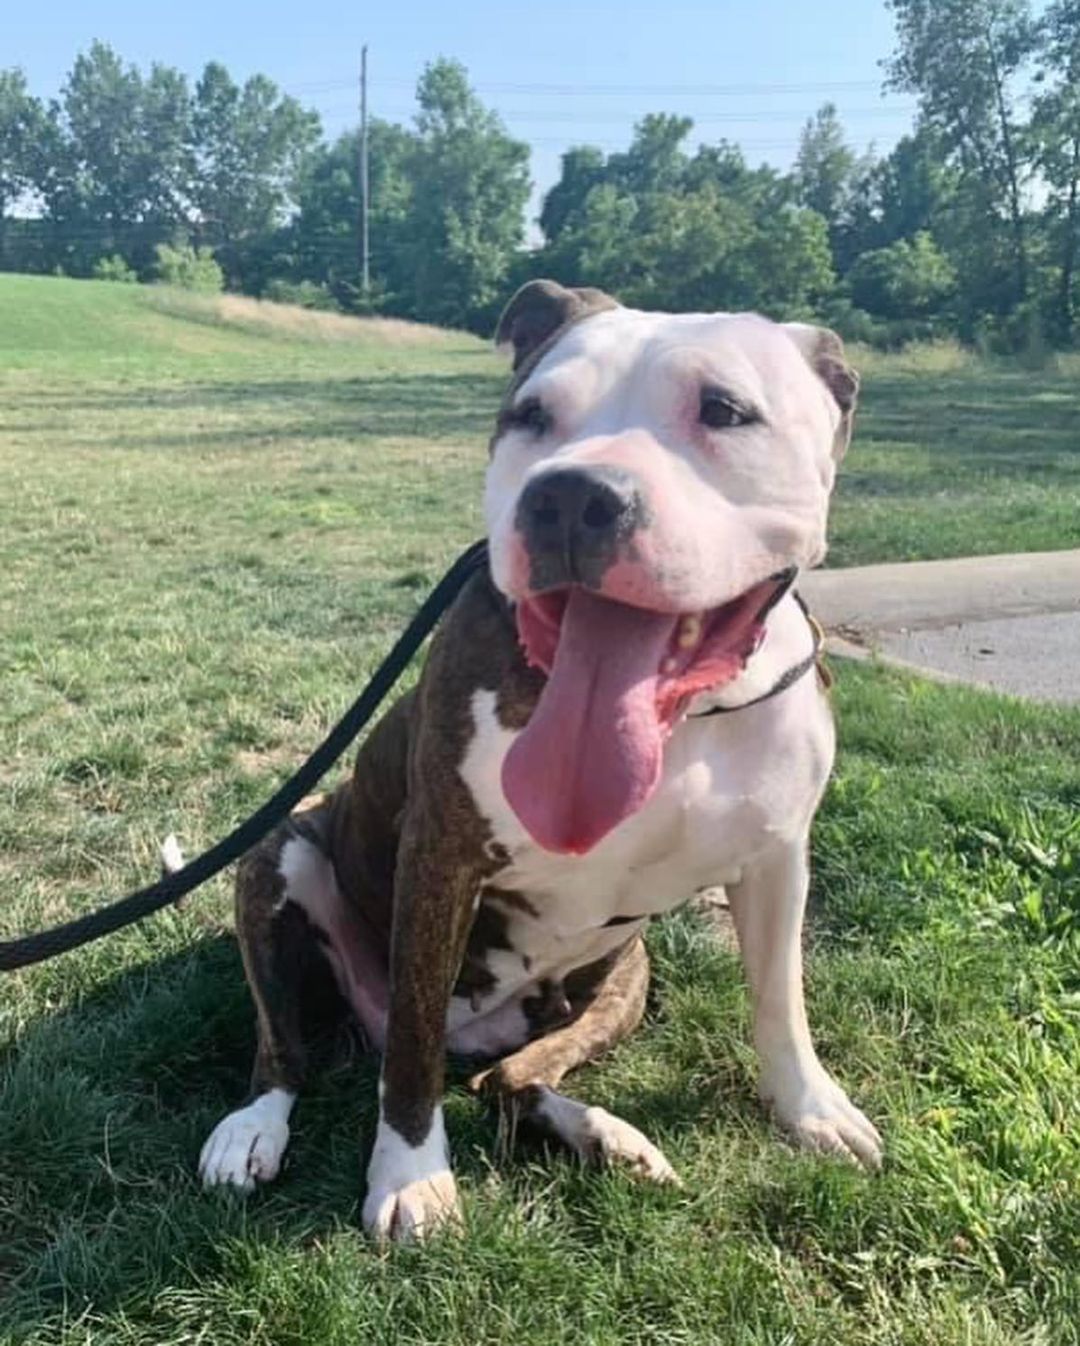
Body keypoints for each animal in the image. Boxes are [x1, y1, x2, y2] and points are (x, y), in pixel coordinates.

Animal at [197, 281, 878, 1238]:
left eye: (724, 410)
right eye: (531, 416)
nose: (570, 495)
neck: (682, 724)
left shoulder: (778, 858)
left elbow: (781, 998)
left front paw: (811, 1110)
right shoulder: (439, 860)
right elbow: (409, 1055)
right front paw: (410, 1177)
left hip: (626, 978)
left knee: (508, 1079)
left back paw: (603, 1135)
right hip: (279, 856)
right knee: (289, 1046)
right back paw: (252, 1128)